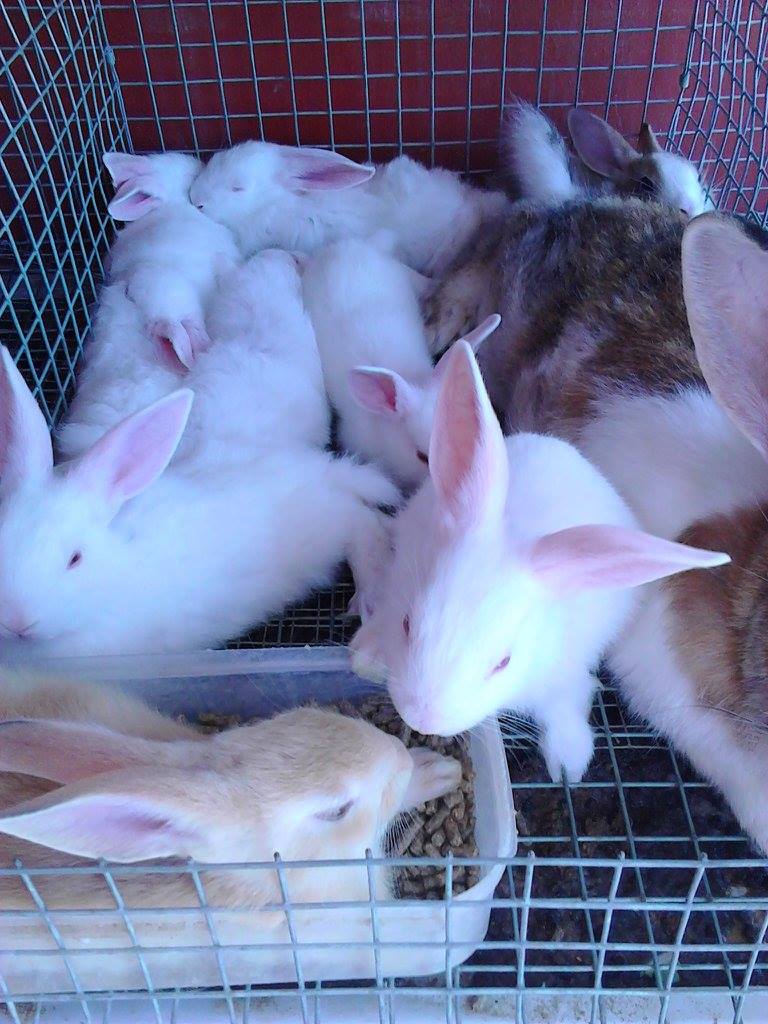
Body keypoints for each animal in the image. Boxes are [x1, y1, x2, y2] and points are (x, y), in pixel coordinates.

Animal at [350, 341, 728, 783]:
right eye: (408, 624)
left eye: (503, 662)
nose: (423, 718)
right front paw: (367, 654)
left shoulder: (562, 674)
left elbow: (566, 703)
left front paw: (569, 763)